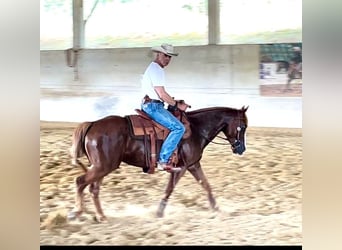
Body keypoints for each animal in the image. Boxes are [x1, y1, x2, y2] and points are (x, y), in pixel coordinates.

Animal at [67, 105, 248, 221]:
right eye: (243, 126)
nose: (241, 149)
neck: (196, 129)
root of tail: (92, 124)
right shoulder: (181, 167)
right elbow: (169, 189)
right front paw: (159, 212)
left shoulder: (193, 165)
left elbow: (206, 185)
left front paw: (217, 209)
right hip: (103, 166)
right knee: (80, 182)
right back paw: (77, 212)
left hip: (103, 167)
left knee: (93, 189)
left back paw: (101, 216)